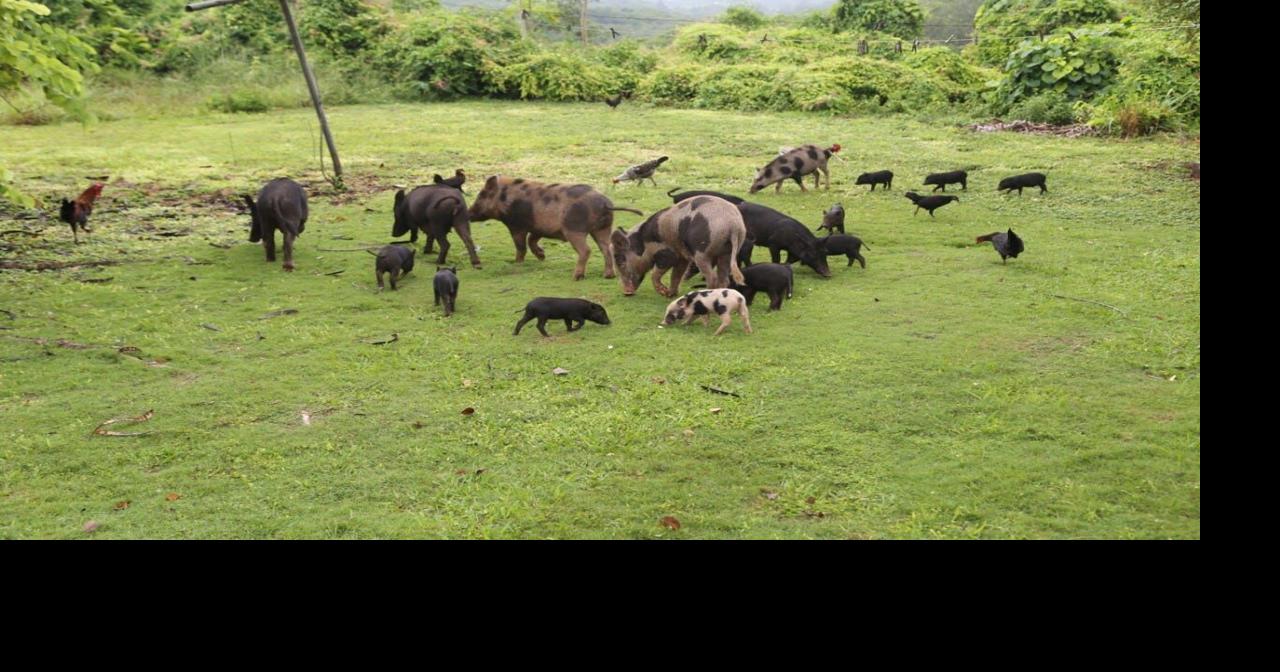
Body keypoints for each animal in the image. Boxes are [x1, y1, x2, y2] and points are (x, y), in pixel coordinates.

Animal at [468, 176, 642, 281]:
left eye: (481, 196)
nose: (468, 214)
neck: (504, 200)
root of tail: (605, 204)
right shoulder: (538, 228)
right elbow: (532, 240)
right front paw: (542, 257)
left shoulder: (516, 226)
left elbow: (521, 246)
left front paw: (516, 263)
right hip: (602, 228)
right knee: (606, 248)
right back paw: (608, 275)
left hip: (575, 230)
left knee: (586, 250)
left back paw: (576, 277)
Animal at [610, 195, 747, 298]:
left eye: (620, 261)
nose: (626, 292)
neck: (644, 243)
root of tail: (733, 225)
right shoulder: (682, 257)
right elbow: (676, 274)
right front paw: (670, 294)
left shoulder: (667, 253)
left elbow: (655, 273)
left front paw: (663, 292)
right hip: (726, 252)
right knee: (724, 278)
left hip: (702, 252)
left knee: (712, 277)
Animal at [671, 190, 830, 277]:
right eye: (813, 254)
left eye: (824, 253)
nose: (829, 274)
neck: (793, 239)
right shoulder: (773, 244)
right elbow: (777, 259)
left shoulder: (792, 251)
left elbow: (790, 259)